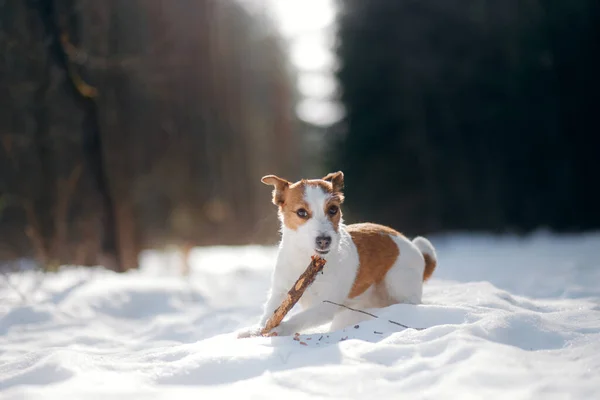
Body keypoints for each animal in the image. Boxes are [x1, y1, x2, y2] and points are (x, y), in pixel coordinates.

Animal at [237, 170, 438, 340]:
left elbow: (299, 318)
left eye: (333, 209)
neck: (305, 260)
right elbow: (270, 313)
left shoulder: (326, 304)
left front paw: (278, 329)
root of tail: (412, 246)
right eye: (301, 212)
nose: (324, 240)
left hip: (399, 286)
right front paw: (256, 330)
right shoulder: (280, 291)